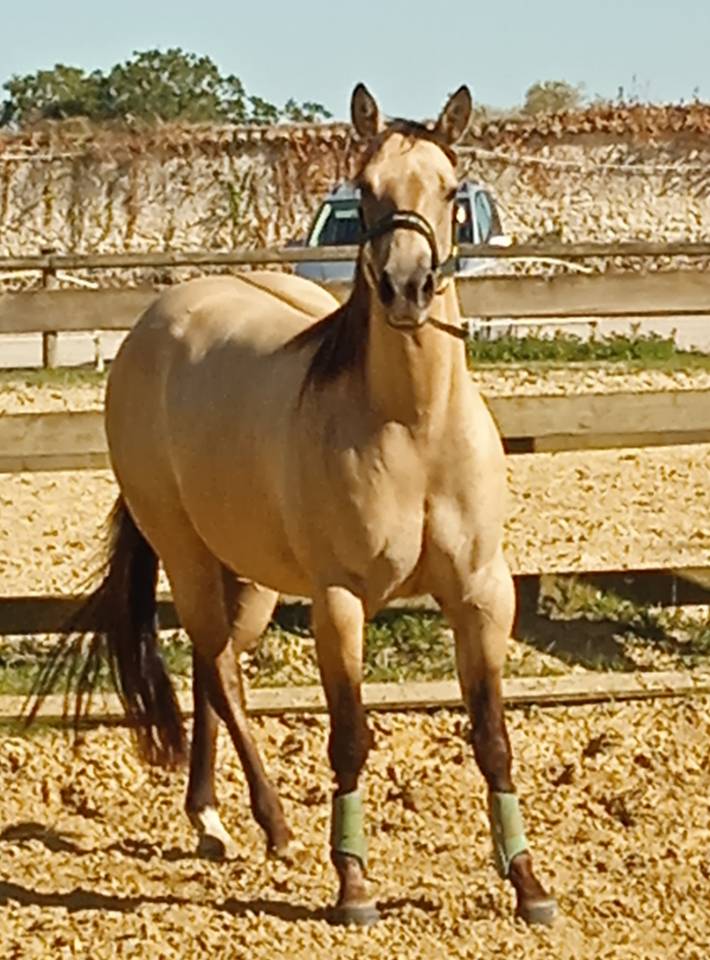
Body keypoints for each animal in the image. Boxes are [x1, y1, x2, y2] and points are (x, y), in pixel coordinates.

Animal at [29, 83, 557, 927]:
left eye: (450, 192)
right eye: (365, 189)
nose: (406, 288)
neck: (412, 427)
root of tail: (156, 323)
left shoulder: (482, 594)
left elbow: (493, 737)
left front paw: (529, 886)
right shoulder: (338, 602)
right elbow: (348, 738)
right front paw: (355, 888)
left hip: (251, 575)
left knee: (214, 670)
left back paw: (210, 819)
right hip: (186, 554)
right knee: (217, 669)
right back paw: (270, 826)